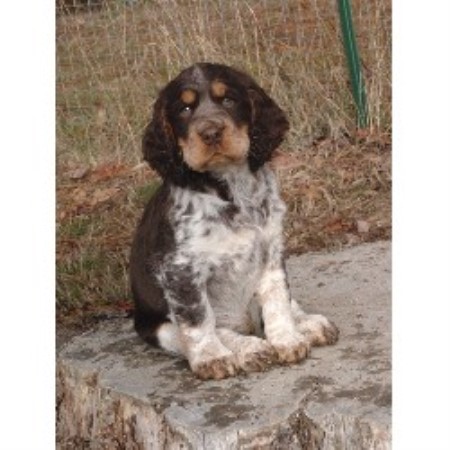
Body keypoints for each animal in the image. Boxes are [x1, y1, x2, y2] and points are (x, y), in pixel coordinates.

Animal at [129, 62, 338, 380]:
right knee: (202, 330)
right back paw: (250, 349)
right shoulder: (180, 269)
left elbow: (278, 298)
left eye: (228, 100)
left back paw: (307, 324)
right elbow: (198, 319)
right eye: (184, 108)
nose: (211, 132)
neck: (232, 188)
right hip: (156, 326)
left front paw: (288, 339)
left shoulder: (271, 249)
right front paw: (212, 358)